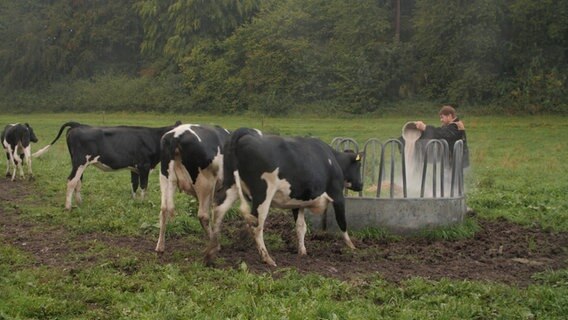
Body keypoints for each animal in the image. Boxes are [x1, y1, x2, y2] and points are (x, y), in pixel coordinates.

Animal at [34, 120, 180, 210]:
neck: (153, 138)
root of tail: (78, 125)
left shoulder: (135, 168)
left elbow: (134, 185)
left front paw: (133, 202)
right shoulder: (144, 166)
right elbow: (144, 186)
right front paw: (143, 203)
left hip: (78, 163)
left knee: (78, 181)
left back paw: (79, 202)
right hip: (80, 161)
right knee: (71, 181)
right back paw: (68, 206)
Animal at [155, 123, 231, 255]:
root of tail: (176, 135)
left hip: (165, 177)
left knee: (164, 210)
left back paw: (160, 246)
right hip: (205, 182)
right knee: (203, 215)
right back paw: (215, 245)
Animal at [205, 129, 364, 266]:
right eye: (358, 166)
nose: (361, 185)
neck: (332, 159)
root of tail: (244, 135)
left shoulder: (298, 203)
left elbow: (301, 227)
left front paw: (302, 251)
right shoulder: (337, 195)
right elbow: (342, 222)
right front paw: (352, 246)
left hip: (230, 184)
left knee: (219, 210)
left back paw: (212, 251)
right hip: (262, 194)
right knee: (256, 224)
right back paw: (267, 258)